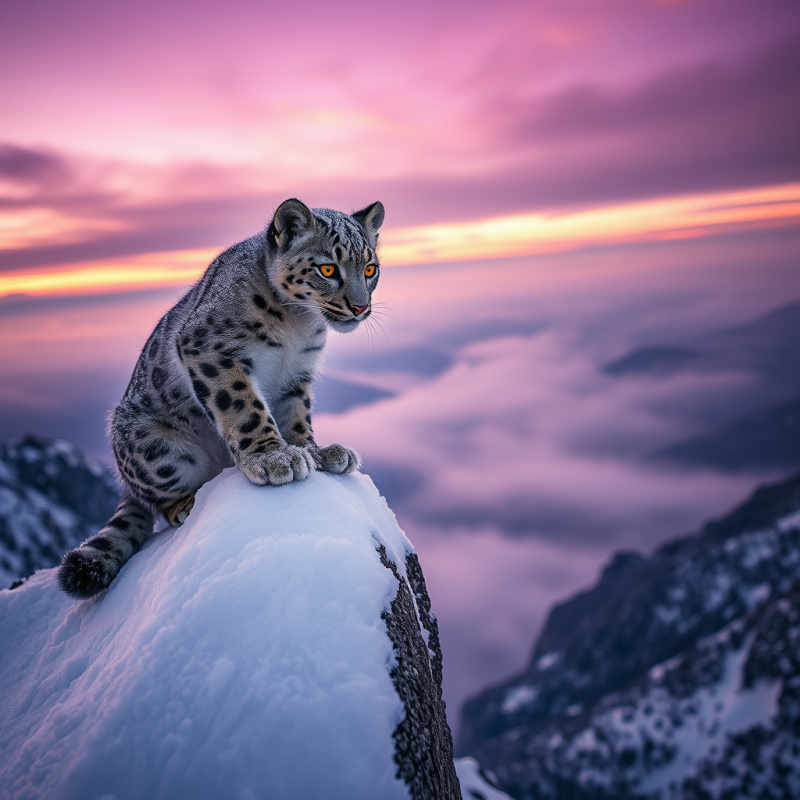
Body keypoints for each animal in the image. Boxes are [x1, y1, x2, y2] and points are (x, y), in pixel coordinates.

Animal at [58, 198, 385, 599]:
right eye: (328, 268)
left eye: (370, 268)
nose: (360, 307)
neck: (298, 325)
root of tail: (125, 479)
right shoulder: (212, 351)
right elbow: (245, 407)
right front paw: (274, 458)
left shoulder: (297, 376)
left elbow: (297, 417)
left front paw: (316, 452)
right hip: (153, 445)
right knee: (160, 501)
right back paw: (188, 503)